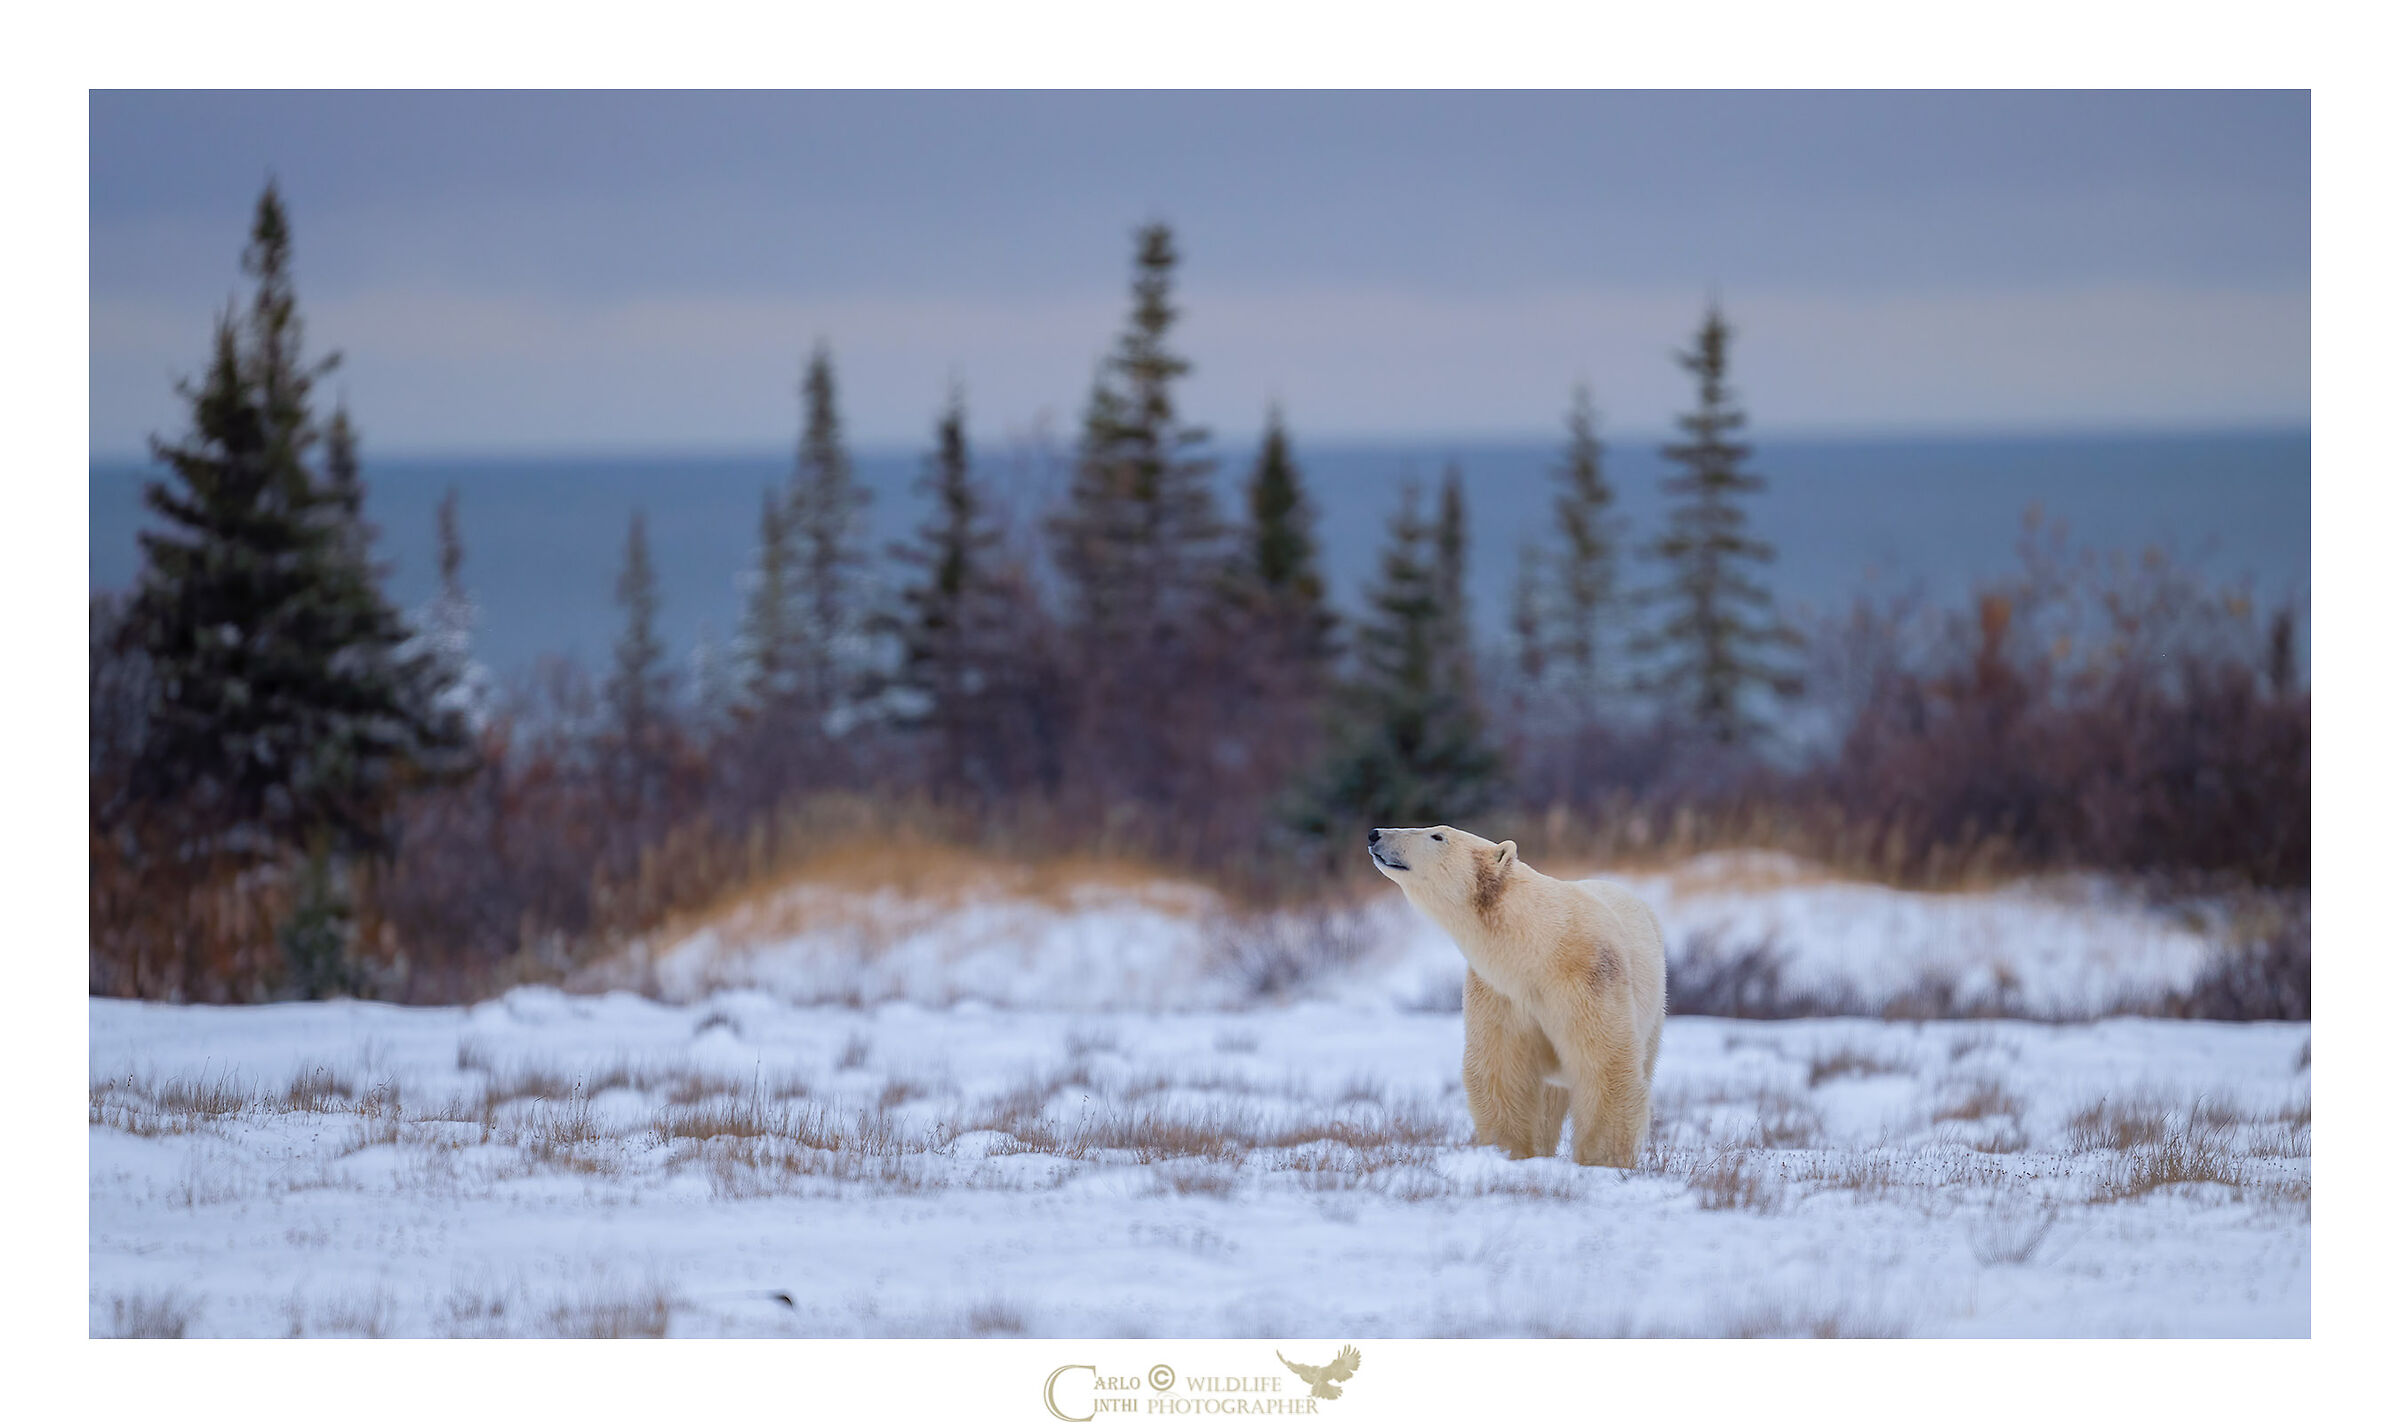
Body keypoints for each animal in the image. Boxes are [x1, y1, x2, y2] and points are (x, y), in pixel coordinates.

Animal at [1369, 824, 1666, 1167]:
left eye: (1437, 836)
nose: (1375, 833)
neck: (1539, 947)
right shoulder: (1499, 992)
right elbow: (1502, 1070)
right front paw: (1509, 1151)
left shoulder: (1590, 976)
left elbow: (1605, 1063)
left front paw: (1602, 1159)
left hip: (1654, 1006)